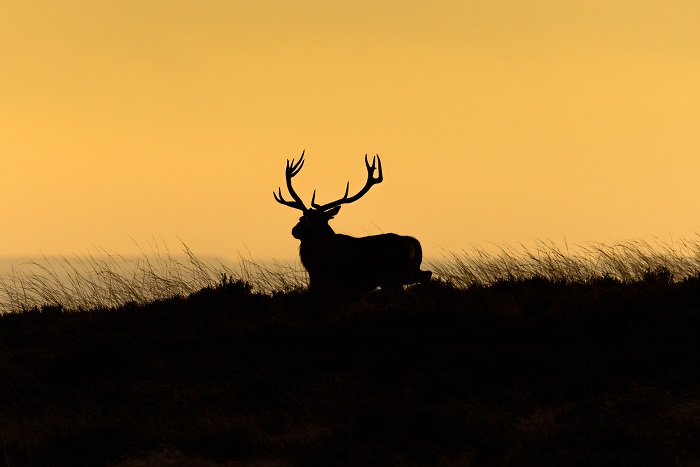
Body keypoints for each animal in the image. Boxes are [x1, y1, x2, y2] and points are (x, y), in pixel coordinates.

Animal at [274, 152, 432, 292]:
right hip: (406, 270)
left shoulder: (323, 278)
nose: (294, 230)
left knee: (423, 277)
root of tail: (415, 243)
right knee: (427, 273)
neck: (314, 256)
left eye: (302, 219)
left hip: (393, 273)